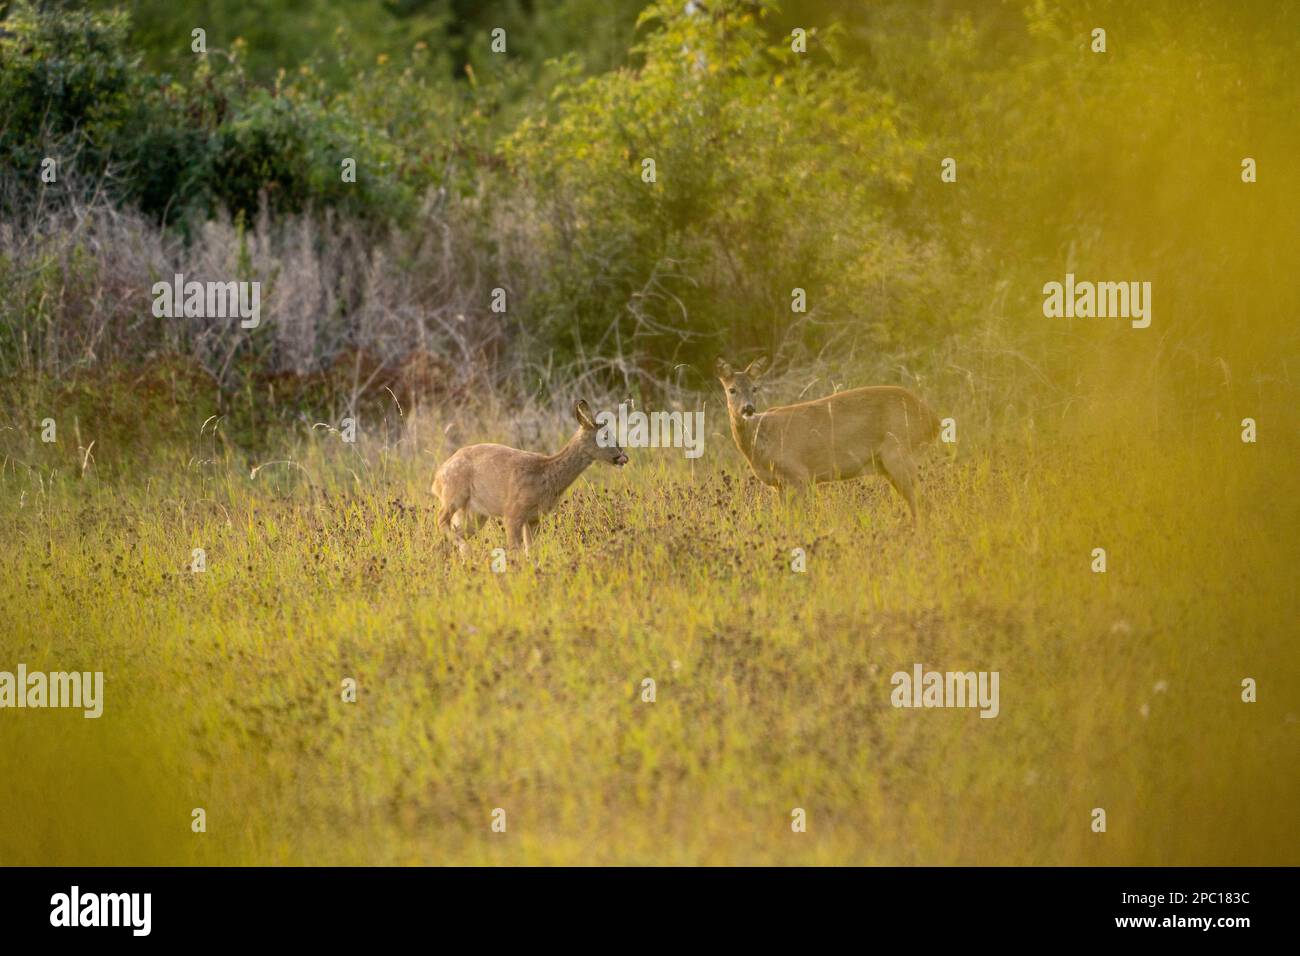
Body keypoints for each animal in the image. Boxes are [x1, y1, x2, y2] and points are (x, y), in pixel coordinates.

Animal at [431, 400, 629, 556]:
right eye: (605, 436)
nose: (622, 456)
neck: (547, 475)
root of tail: (437, 478)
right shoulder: (513, 511)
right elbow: (515, 551)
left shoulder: (534, 518)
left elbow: (530, 551)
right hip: (454, 494)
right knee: (441, 520)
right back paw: (466, 551)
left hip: (476, 513)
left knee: (456, 531)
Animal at [717, 356, 941, 522]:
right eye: (732, 389)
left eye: (755, 388)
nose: (748, 408)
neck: (761, 440)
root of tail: (933, 418)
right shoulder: (779, 485)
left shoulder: (799, 475)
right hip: (889, 464)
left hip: (899, 452)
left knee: (923, 504)